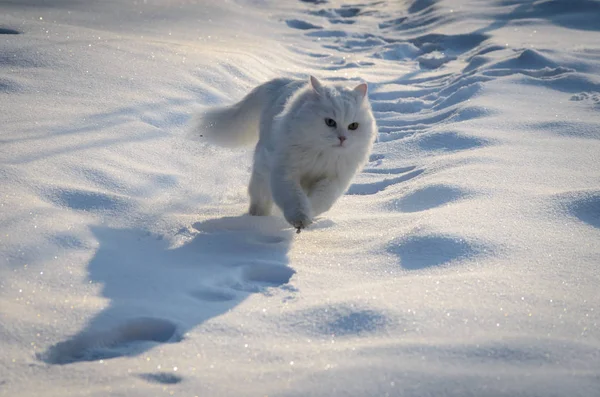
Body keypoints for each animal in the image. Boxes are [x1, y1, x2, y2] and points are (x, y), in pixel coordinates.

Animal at [190, 76, 378, 230]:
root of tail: (282, 81)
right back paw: (256, 218)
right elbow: (294, 199)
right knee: (259, 198)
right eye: (330, 122)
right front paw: (300, 219)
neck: (321, 153)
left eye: (353, 126)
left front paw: (309, 215)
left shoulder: (334, 179)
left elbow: (320, 201)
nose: (342, 138)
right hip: (262, 171)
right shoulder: (285, 172)